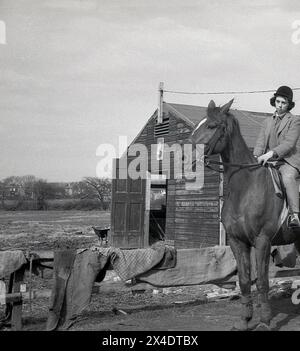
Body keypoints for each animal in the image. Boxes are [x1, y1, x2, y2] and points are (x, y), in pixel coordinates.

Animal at [190, 99, 300, 332]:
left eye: (212, 126)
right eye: (197, 125)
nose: (185, 154)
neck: (246, 187)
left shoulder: (262, 241)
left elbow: (262, 282)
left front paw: (265, 321)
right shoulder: (237, 241)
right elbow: (244, 280)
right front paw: (244, 320)